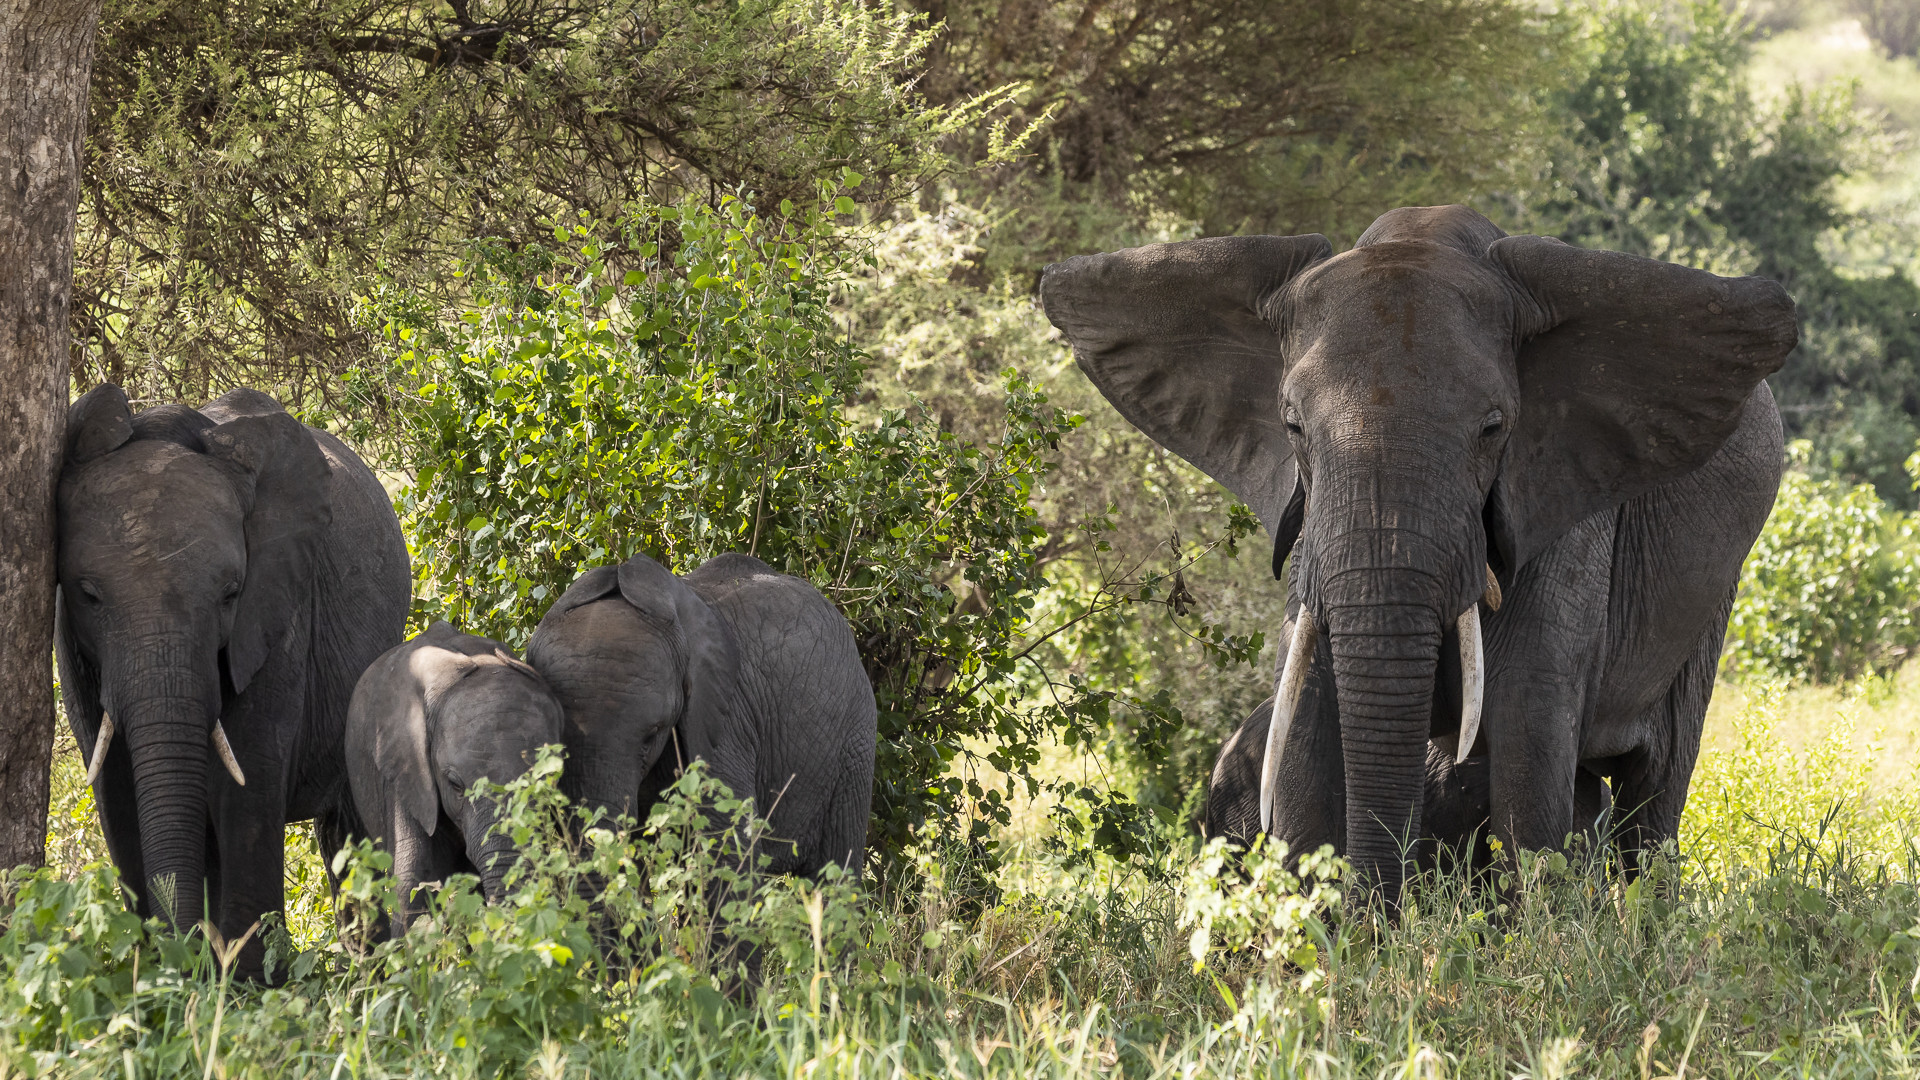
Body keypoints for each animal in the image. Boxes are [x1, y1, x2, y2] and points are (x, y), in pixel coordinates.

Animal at [55, 382, 408, 972]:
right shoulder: (70, 643)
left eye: (231, 594)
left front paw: (245, 979)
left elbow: (245, 788)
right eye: (88, 594)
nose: (182, 950)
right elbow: (114, 789)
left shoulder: (280, 612)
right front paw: (156, 974)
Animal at [1044, 203, 1789, 899]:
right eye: (1293, 426)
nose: (1380, 915)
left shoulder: (1562, 509)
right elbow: (1306, 727)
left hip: (1712, 594)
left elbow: (1530, 740)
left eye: (1494, 428)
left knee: (1650, 792)